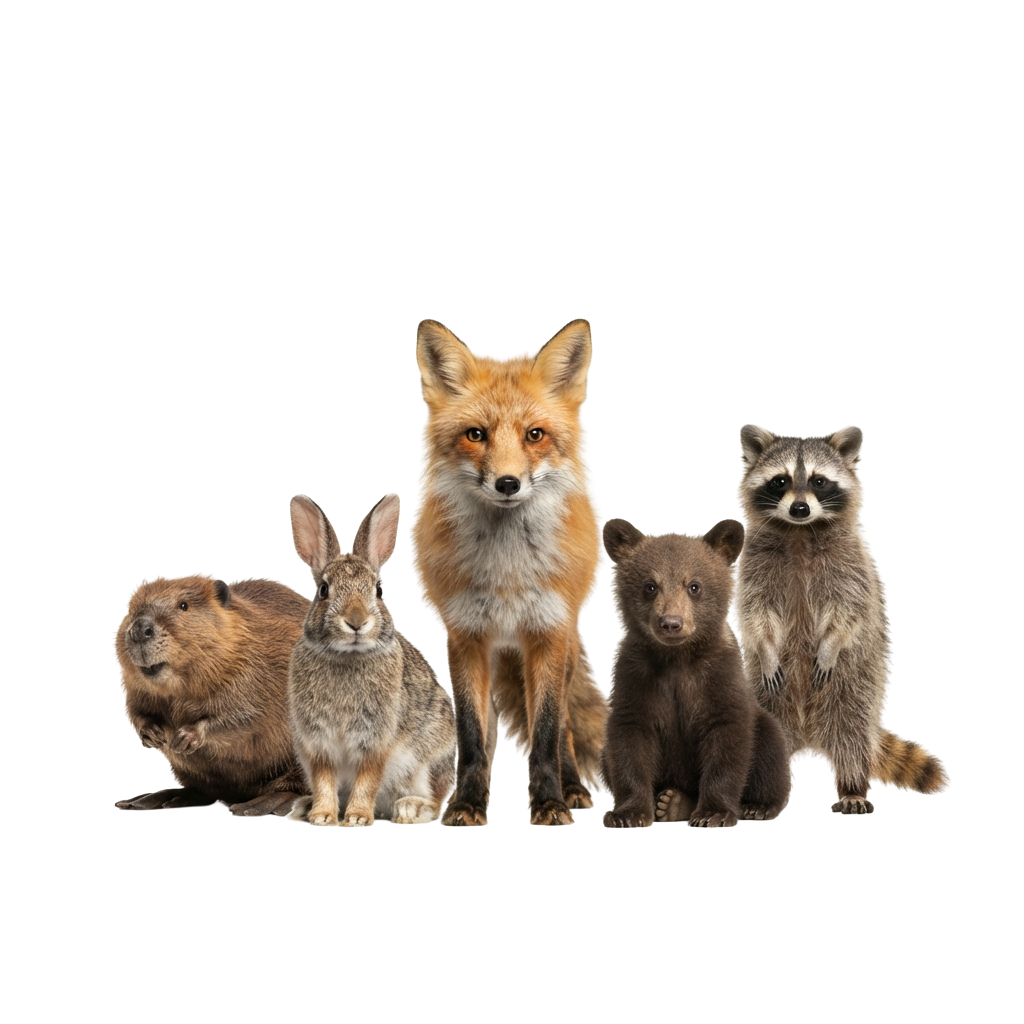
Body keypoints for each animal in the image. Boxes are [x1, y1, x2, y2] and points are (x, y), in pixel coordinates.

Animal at [285, 492, 456, 826]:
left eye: (378, 590)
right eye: (323, 590)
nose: (356, 622)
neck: (347, 656)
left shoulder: (375, 741)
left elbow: (368, 779)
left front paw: (356, 817)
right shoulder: (318, 744)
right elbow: (324, 779)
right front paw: (323, 815)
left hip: (433, 757)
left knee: (436, 797)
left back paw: (411, 808)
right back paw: (303, 807)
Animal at [410, 318, 608, 826]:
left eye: (534, 435)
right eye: (475, 434)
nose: (507, 483)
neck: (507, 573)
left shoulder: (547, 634)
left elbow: (547, 733)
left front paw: (550, 802)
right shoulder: (465, 637)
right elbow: (472, 736)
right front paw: (466, 803)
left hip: (564, 648)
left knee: (565, 729)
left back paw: (572, 787)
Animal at [736, 424, 950, 813]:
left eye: (819, 481)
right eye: (780, 481)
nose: (800, 508)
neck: (800, 532)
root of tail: (807, 730)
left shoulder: (852, 562)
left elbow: (848, 609)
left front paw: (830, 644)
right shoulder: (754, 564)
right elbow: (758, 614)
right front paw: (768, 650)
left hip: (855, 682)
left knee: (852, 733)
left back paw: (852, 787)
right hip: (763, 697)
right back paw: (762, 795)